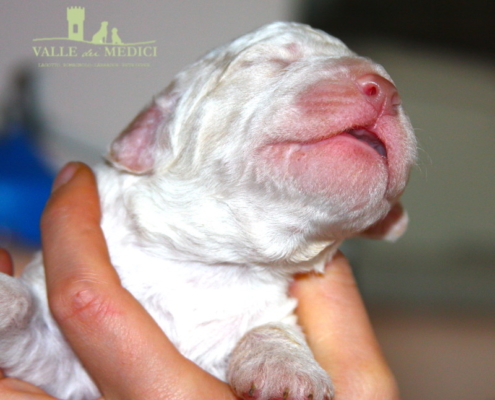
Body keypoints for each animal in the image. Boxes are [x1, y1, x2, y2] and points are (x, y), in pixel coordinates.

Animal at [0, 22, 418, 400]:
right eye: (273, 60)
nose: (386, 90)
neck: (217, 264)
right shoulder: (58, 363)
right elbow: (28, 317)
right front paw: (4, 294)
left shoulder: (270, 310)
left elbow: (273, 326)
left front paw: (286, 368)